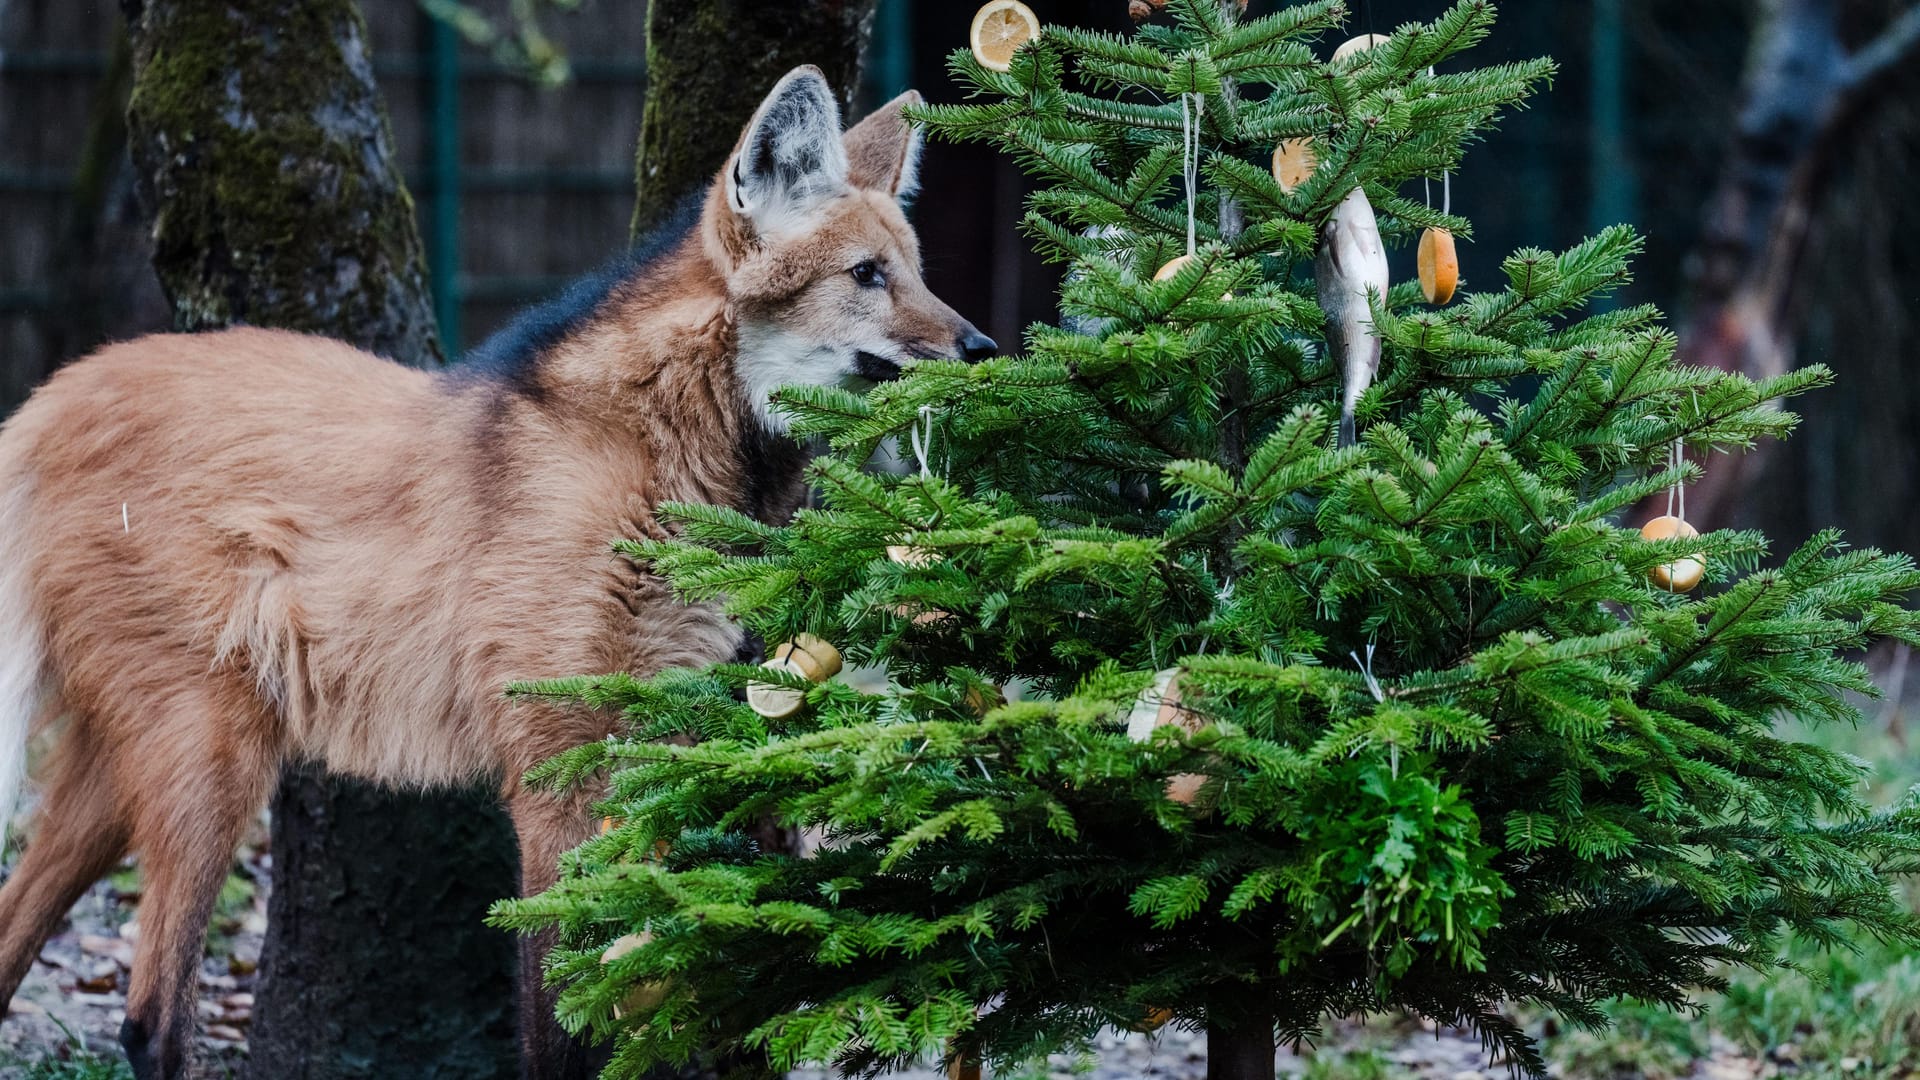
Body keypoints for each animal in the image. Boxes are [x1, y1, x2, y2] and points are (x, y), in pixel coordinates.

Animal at [0, 62, 990, 1068]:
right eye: (865, 276)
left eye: (916, 274)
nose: (982, 349)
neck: (660, 460)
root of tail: (53, 396)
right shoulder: (556, 765)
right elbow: (562, 1019)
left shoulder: (639, 739)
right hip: (213, 747)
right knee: (150, 1019)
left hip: (133, 757)